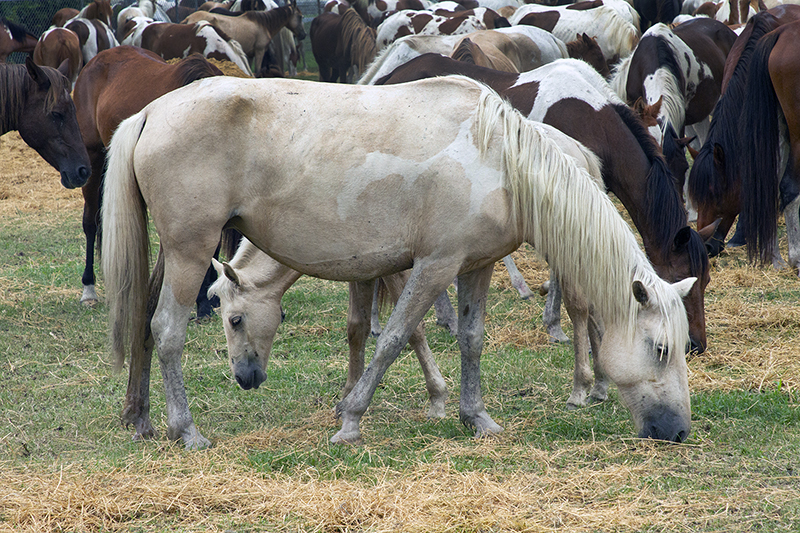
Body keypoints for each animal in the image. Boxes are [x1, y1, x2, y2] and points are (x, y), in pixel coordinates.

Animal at [205, 239, 444, 418]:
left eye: (235, 320)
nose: (240, 377)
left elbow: (412, 330)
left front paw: (437, 396)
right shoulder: (361, 266)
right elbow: (357, 329)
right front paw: (349, 396)